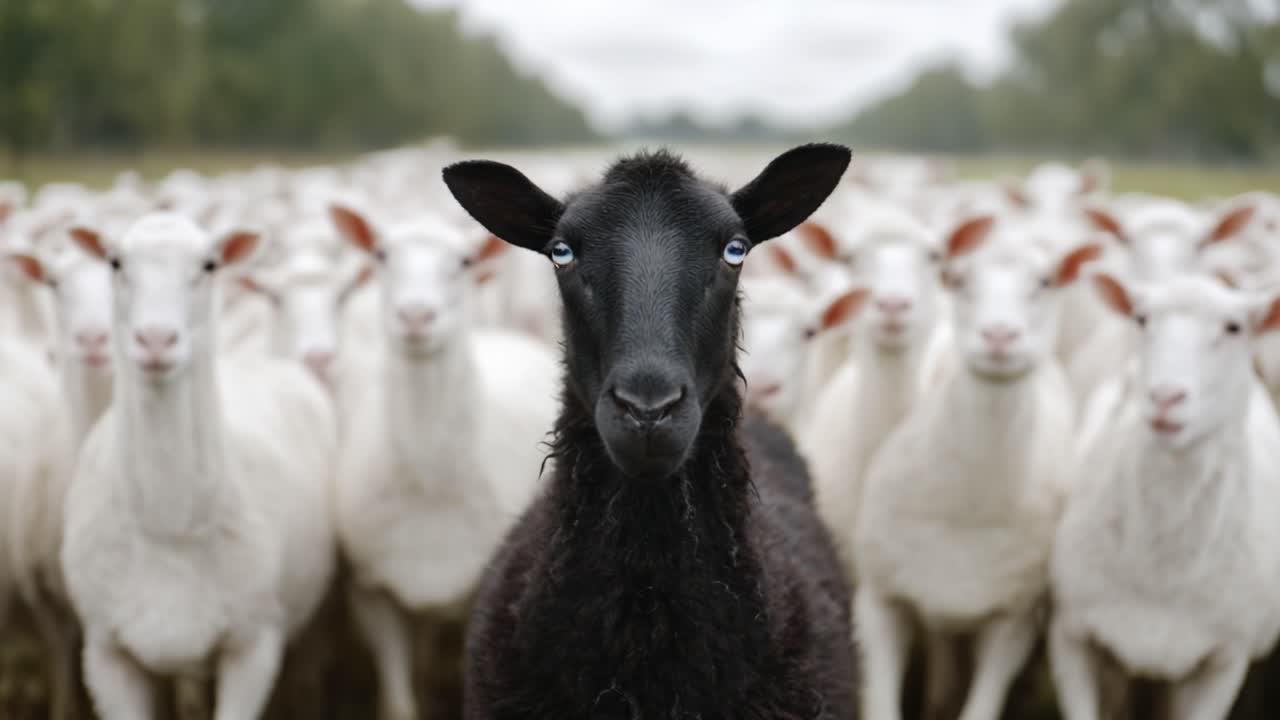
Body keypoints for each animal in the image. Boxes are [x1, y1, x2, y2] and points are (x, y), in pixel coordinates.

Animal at [59, 214, 337, 720]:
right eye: (115, 262)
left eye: (209, 265)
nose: (156, 340)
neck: (168, 526)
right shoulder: (106, 653)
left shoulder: (254, 645)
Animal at [327, 204, 560, 720]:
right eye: (381, 254)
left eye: (465, 262)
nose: (416, 316)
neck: (430, 483)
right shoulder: (373, 591)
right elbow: (397, 702)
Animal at [852, 214, 1101, 720]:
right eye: (959, 280)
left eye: (1045, 282)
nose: (1000, 336)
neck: (968, 504)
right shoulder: (879, 600)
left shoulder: (1013, 621)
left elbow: (981, 705)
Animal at [1049, 272, 1280, 720]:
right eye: (1142, 319)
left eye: (1234, 327)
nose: (1165, 398)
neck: (1163, 571)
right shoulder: (1071, 634)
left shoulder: (1225, 659)